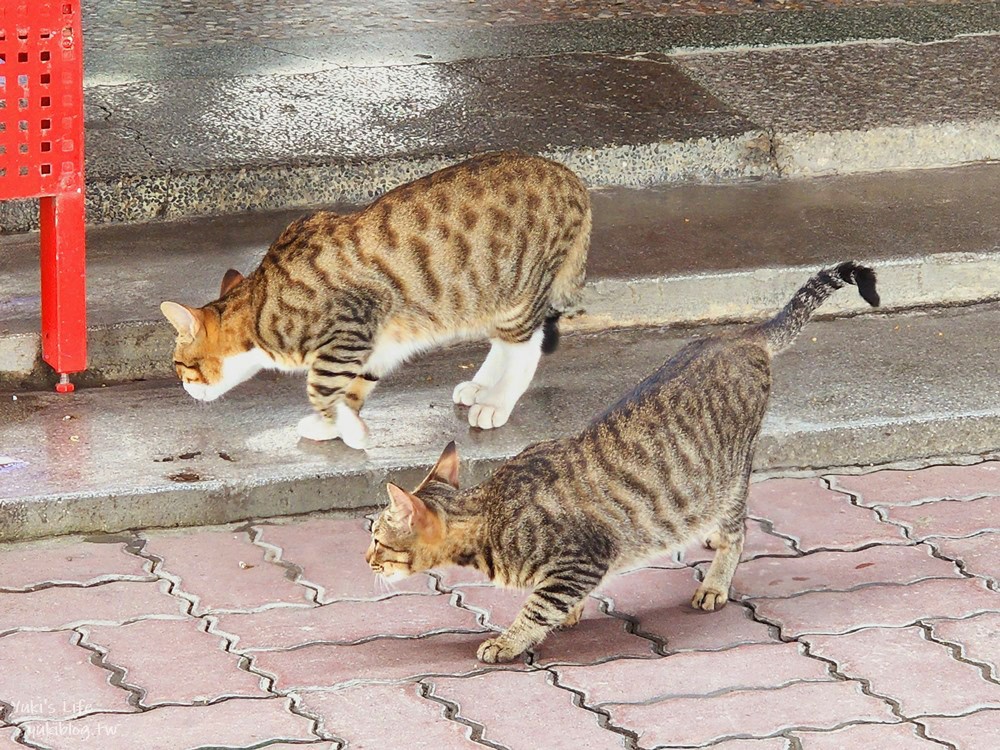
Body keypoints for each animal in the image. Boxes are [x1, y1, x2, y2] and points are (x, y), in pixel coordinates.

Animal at [160, 151, 588, 450]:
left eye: (181, 366)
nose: (183, 389)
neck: (260, 307)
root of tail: (568, 174)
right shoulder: (377, 341)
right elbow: (352, 385)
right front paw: (338, 423)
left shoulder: (352, 327)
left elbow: (321, 387)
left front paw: (346, 426)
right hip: (488, 296)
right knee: (503, 341)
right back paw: (482, 387)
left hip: (518, 289)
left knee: (527, 345)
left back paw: (498, 401)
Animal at [368, 264, 876, 664]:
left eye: (376, 539)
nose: (366, 559)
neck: (487, 515)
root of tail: (739, 336)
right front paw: (568, 613)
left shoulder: (582, 557)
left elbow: (538, 606)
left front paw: (510, 640)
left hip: (730, 475)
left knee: (739, 531)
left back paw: (716, 581)